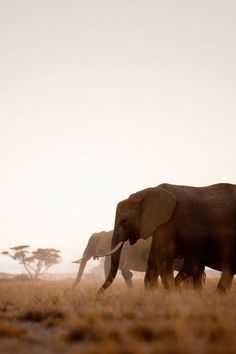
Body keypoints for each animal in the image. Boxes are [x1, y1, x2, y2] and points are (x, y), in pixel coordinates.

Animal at [97, 183, 236, 294]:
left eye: (123, 221)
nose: (98, 295)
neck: (143, 194)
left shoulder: (167, 225)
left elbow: (163, 260)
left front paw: (172, 295)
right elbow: (153, 261)